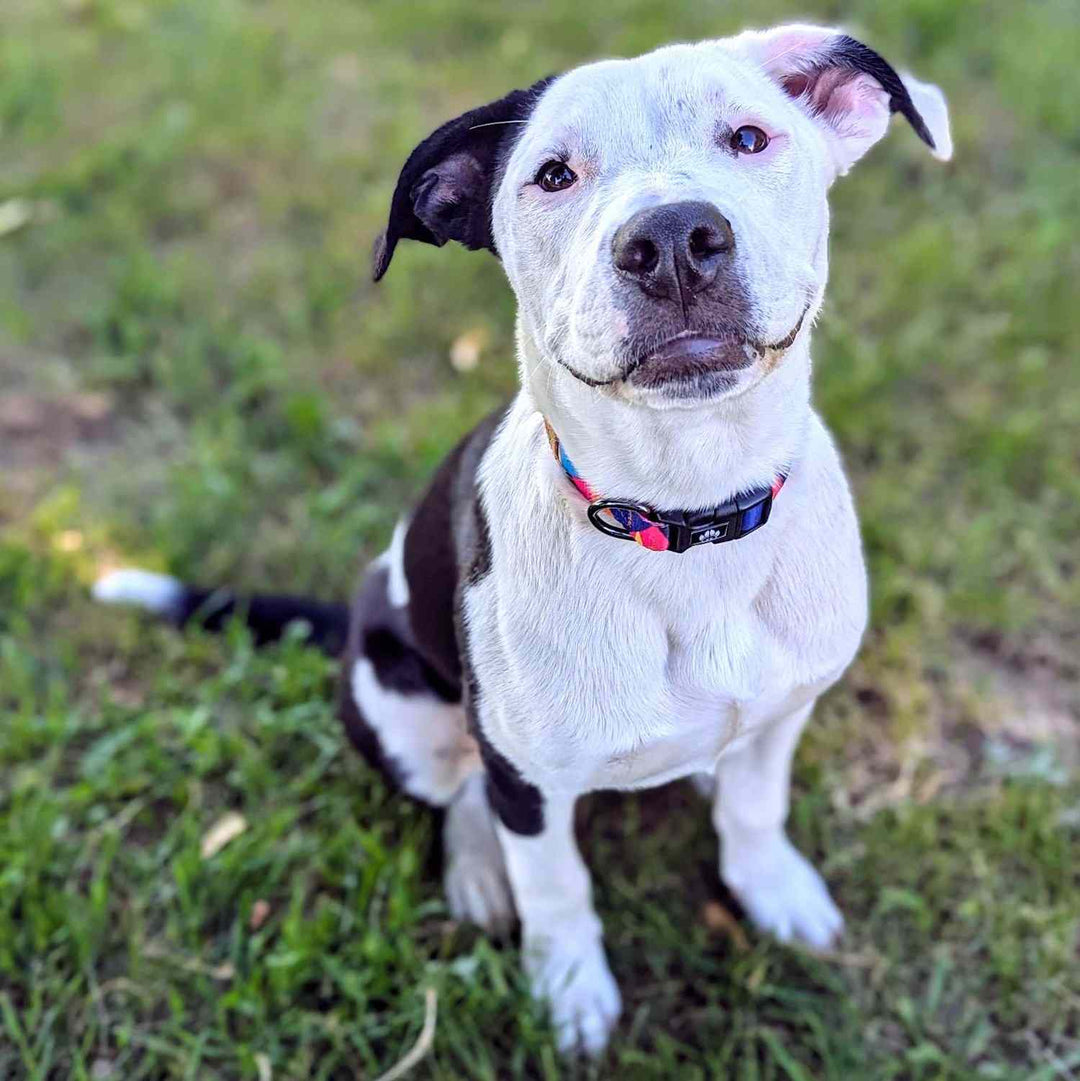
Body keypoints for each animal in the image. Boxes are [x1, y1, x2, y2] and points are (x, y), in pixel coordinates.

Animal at [97, 25, 951, 1055]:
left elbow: (755, 806)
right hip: (399, 707)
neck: (686, 516)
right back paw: (476, 872)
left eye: (749, 138)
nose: (672, 241)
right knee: (461, 791)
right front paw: (571, 990)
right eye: (552, 175)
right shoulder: (529, 777)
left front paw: (772, 886)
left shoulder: (786, 709)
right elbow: (555, 885)